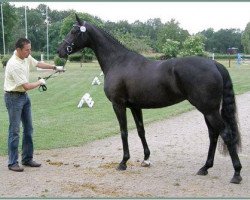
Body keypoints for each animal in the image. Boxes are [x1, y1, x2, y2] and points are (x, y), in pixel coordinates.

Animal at [57, 14, 242, 184]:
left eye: (74, 31)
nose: (60, 51)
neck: (118, 61)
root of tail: (214, 64)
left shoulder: (118, 105)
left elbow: (124, 132)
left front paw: (123, 162)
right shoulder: (135, 106)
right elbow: (141, 131)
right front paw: (146, 159)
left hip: (209, 110)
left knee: (225, 133)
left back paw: (236, 173)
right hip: (207, 110)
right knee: (213, 134)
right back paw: (205, 168)